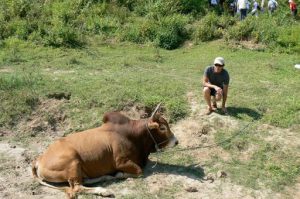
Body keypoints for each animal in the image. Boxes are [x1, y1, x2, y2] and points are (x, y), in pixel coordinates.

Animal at [32, 104, 178, 197]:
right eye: (162, 128)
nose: (176, 141)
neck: (133, 135)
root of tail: (39, 159)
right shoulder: (121, 162)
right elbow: (138, 171)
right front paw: (119, 174)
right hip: (73, 161)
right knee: (77, 187)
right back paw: (104, 190)